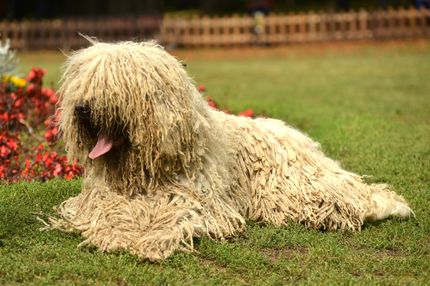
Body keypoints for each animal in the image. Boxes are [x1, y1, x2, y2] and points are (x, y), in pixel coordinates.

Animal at [50, 40, 414, 262]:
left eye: (115, 83)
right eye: (84, 82)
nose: (82, 107)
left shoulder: (197, 203)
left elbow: (175, 218)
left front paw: (150, 240)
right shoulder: (103, 198)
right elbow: (108, 214)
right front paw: (115, 232)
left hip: (295, 189)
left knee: (352, 199)